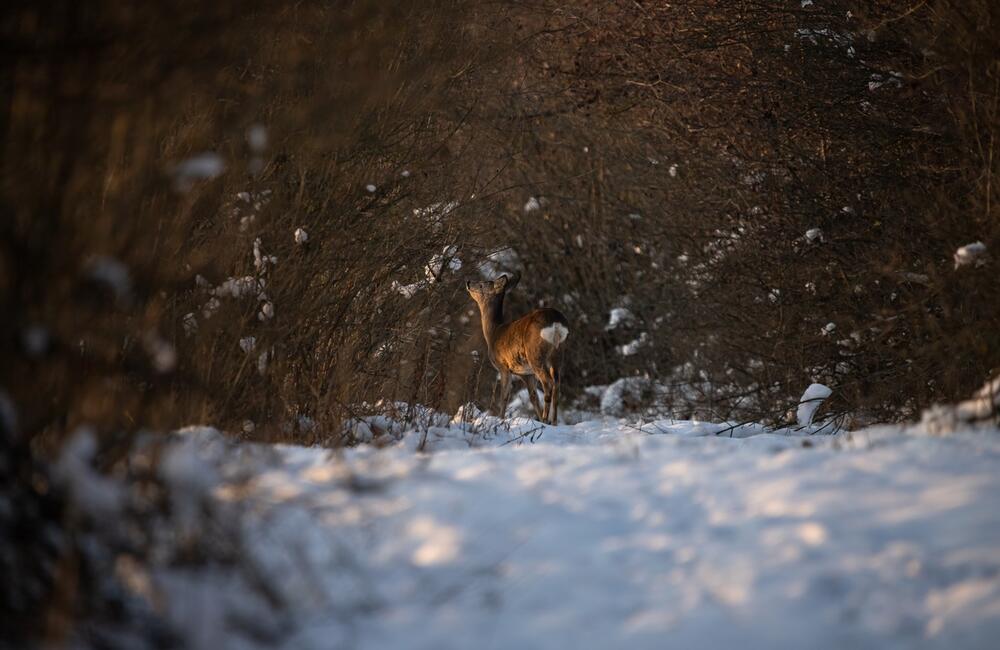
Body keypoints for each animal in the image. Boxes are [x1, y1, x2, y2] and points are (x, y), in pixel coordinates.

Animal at [464, 270, 568, 422]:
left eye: (483, 284)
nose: (468, 282)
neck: (493, 333)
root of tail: (555, 322)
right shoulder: (526, 373)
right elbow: (533, 397)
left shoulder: (503, 366)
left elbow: (504, 397)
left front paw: (500, 419)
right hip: (558, 353)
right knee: (557, 384)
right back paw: (553, 422)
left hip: (535, 354)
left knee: (548, 383)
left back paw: (545, 419)